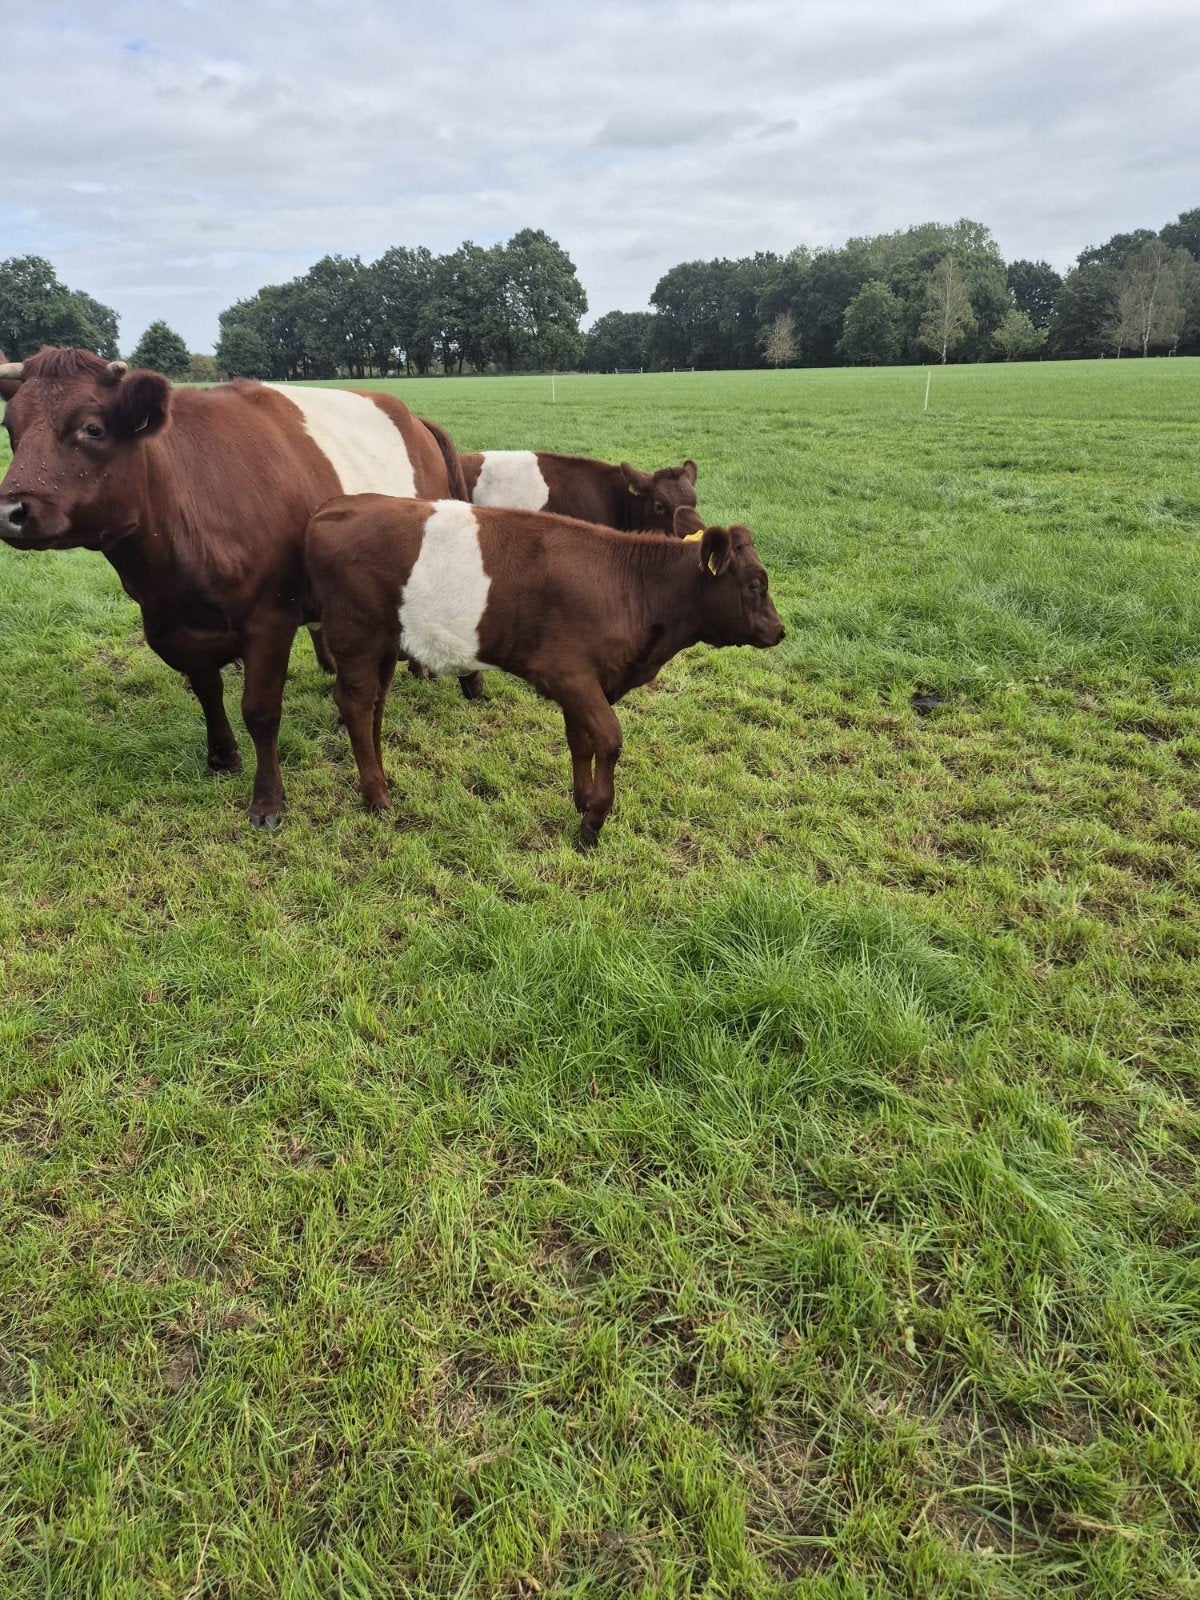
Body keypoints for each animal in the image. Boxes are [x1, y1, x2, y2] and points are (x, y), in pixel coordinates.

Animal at [0, 346, 469, 827]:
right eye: (10, 427)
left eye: (92, 428)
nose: (10, 511)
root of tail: (411, 416)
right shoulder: (171, 625)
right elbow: (208, 691)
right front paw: (222, 757)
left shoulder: (269, 619)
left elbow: (260, 711)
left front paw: (268, 801)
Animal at [304, 496, 785, 846]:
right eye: (754, 585)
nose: (779, 631)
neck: (631, 587)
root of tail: (334, 508)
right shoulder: (569, 675)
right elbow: (609, 739)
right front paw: (593, 822)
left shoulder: (587, 681)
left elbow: (581, 741)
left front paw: (582, 800)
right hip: (356, 639)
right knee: (355, 704)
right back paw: (376, 797)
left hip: (386, 645)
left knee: (374, 707)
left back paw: (382, 783)